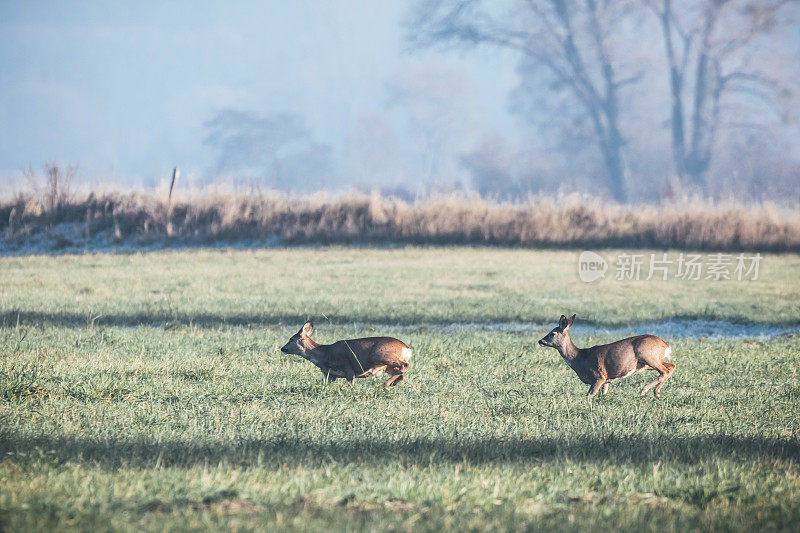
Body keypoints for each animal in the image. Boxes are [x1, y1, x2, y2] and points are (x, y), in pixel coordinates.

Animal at [280, 318, 412, 388]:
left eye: (291, 339)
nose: (282, 348)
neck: (325, 354)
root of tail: (407, 349)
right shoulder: (329, 374)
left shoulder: (348, 368)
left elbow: (351, 384)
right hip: (386, 366)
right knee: (401, 374)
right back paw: (391, 384)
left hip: (379, 355)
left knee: (405, 365)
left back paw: (384, 384)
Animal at [536, 314, 676, 396]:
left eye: (552, 333)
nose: (540, 341)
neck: (580, 358)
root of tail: (666, 345)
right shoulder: (606, 380)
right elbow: (603, 395)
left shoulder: (599, 377)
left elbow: (589, 395)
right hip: (649, 362)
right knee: (671, 366)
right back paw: (656, 392)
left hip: (647, 355)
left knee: (664, 370)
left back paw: (647, 390)